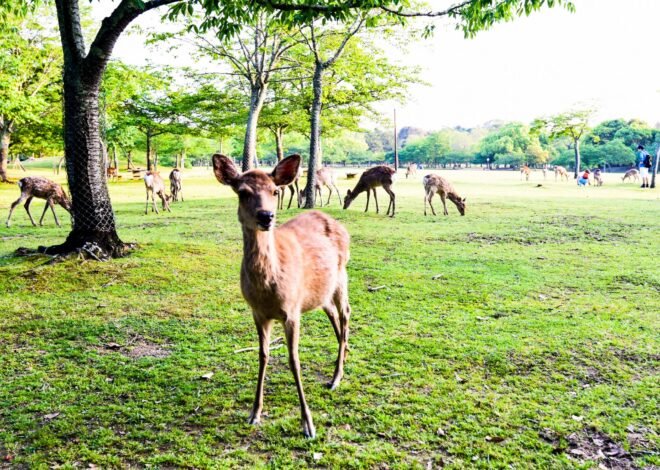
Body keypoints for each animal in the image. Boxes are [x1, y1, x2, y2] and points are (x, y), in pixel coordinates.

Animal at [211, 153, 351, 439]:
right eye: (242, 192)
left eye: (275, 191)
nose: (266, 216)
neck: (268, 289)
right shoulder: (257, 313)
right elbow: (263, 355)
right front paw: (254, 413)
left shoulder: (292, 310)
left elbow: (294, 360)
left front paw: (308, 424)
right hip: (320, 292)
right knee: (333, 315)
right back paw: (342, 359)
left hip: (342, 276)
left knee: (345, 315)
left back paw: (336, 377)